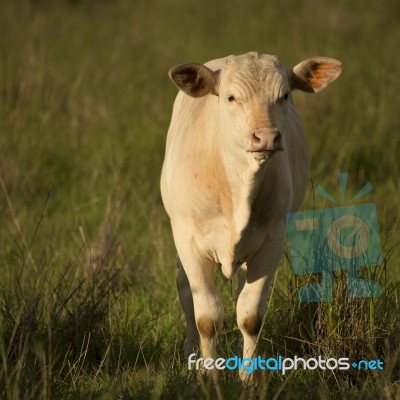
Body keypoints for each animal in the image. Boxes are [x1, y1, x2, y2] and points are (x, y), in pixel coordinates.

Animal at [161, 51, 342, 380]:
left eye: (284, 96)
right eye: (231, 97)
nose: (266, 137)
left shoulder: (272, 239)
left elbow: (250, 316)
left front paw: (247, 378)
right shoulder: (188, 238)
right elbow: (206, 316)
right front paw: (209, 376)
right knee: (185, 291)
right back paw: (191, 353)